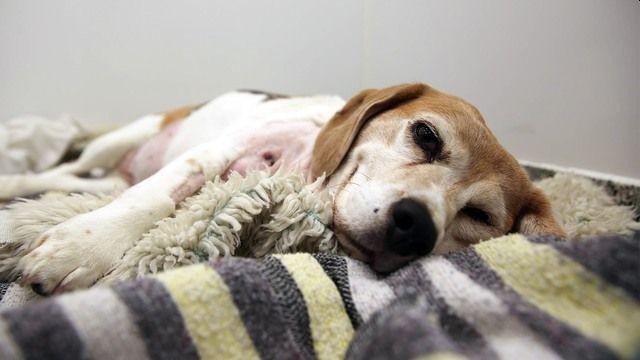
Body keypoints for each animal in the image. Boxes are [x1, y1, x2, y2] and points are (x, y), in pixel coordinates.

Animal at [3, 83, 564, 294]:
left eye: (481, 217)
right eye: (426, 135)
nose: (416, 228)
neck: (306, 166)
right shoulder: (218, 150)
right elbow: (156, 198)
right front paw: (82, 246)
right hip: (122, 138)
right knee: (61, 174)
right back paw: (16, 185)